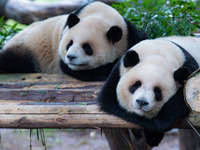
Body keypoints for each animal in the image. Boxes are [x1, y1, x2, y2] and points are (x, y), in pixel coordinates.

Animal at [0, 1, 148, 81]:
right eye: (69, 44)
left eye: (87, 47)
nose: (71, 57)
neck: (101, 15)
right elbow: (78, 70)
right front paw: (110, 67)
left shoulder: (128, 34)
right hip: (29, 48)